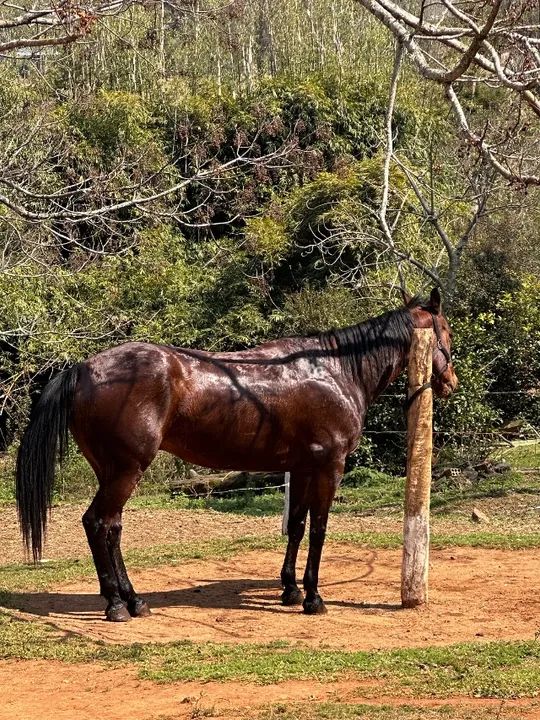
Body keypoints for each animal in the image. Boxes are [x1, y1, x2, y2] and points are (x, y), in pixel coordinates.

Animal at [16, 288, 457, 621]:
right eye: (446, 333)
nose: (450, 382)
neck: (337, 371)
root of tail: (83, 370)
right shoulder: (329, 467)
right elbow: (318, 529)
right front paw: (313, 597)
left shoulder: (300, 468)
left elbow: (296, 526)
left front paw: (290, 589)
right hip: (126, 470)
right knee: (98, 523)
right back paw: (115, 605)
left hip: (112, 472)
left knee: (112, 528)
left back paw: (135, 600)